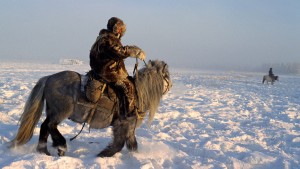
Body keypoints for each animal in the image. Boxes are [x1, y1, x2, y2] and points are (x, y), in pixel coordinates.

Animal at [10, 59, 172, 157]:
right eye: (167, 76)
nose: (171, 85)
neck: (139, 93)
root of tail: (48, 78)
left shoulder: (129, 127)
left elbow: (132, 144)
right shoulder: (122, 124)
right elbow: (119, 144)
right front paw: (102, 155)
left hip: (53, 111)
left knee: (45, 126)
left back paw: (44, 151)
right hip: (61, 111)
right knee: (50, 125)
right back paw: (61, 146)